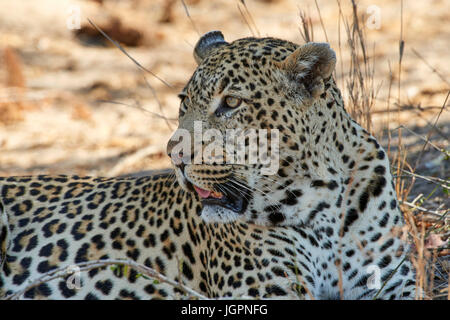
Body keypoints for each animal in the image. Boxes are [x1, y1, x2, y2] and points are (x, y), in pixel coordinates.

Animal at [0, 31, 416, 298]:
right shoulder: (267, 291)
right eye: (184, 101)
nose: (174, 154)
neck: (322, 198)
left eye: (230, 103)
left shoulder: (392, 284)